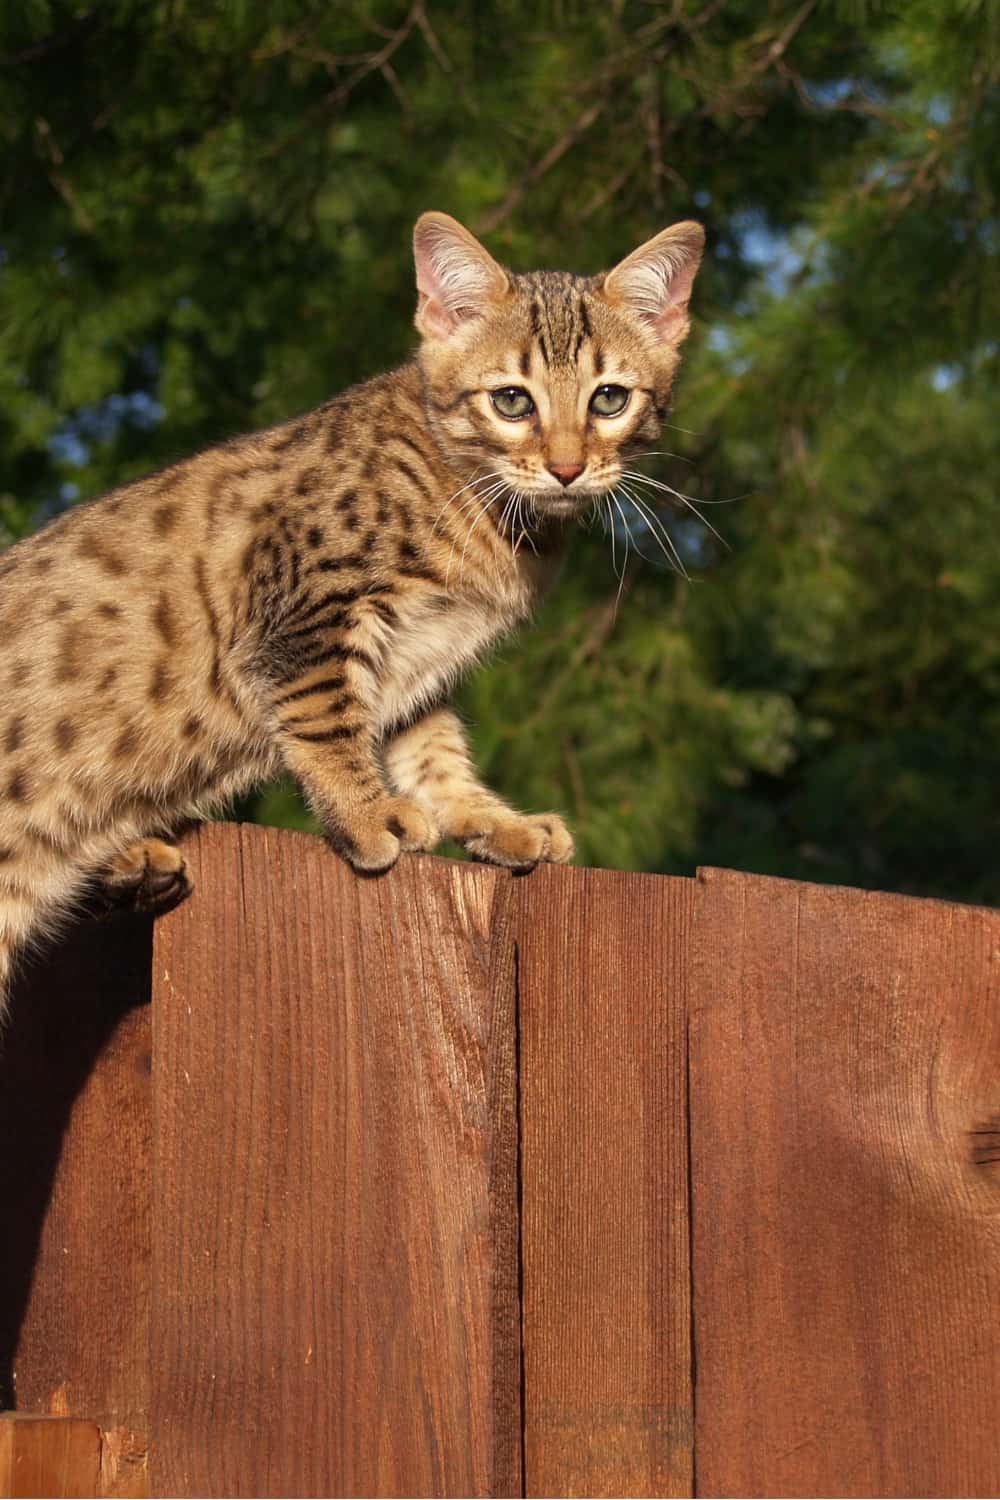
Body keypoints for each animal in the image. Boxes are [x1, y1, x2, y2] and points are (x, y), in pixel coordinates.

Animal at [0, 211, 704, 1014]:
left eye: (609, 399)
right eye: (512, 401)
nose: (566, 468)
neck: (489, 514)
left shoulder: (420, 659)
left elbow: (433, 752)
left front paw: (491, 819)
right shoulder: (304, 616)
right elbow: (327, 718)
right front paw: (370, 815)